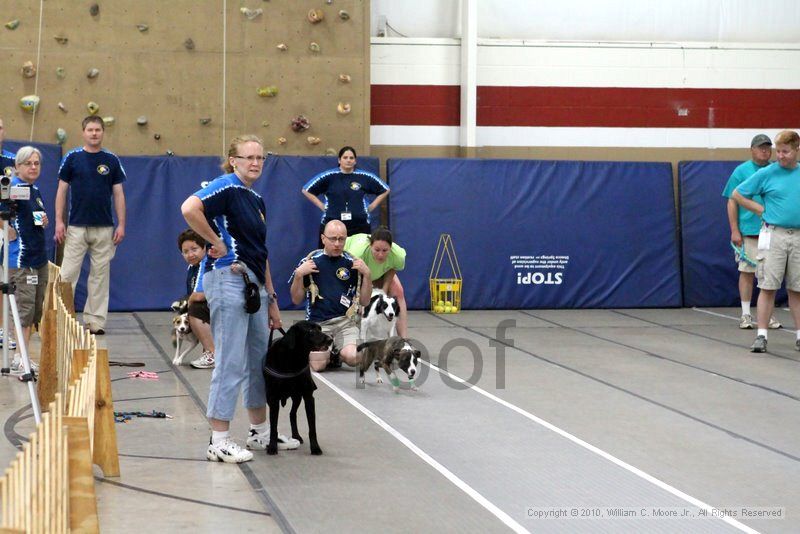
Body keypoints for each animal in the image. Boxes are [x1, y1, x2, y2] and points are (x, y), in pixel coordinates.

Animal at [264, 322, 330, 456]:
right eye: (310, 331)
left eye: (320, 328)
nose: (330, 339)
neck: (294, 359)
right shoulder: (273, 398)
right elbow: (273, 426)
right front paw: (272, 447)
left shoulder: (308, 397)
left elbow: (312, 428)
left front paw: (315, 447)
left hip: (297, 397)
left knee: (292, 414)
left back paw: (296, 435)